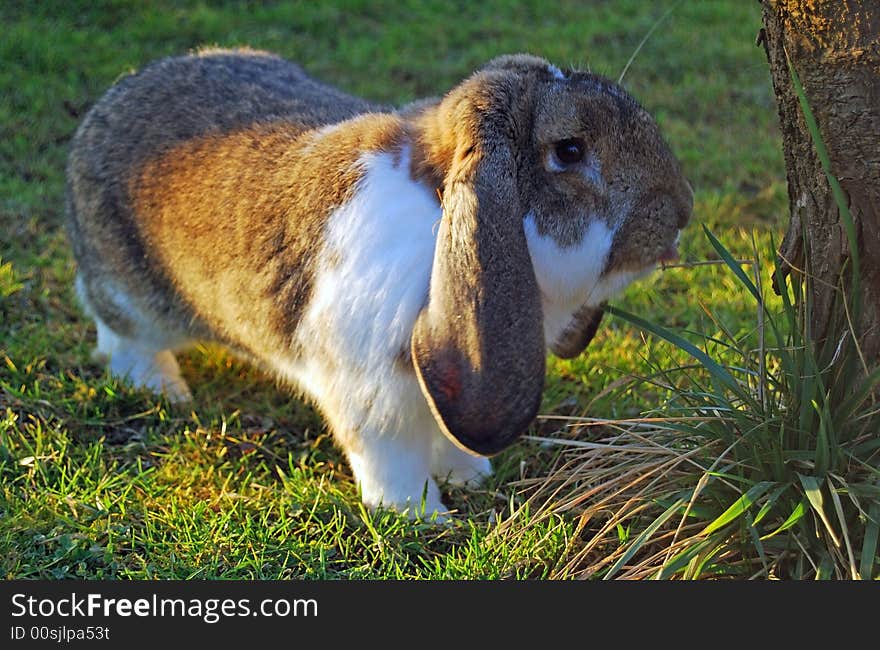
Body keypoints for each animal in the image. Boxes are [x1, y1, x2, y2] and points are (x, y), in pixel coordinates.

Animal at [63, 48, 696, 520]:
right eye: (569, 150)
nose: (682, 211)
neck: (438, 207)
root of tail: (111, 102)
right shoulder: (373, 397)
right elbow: (391, 461)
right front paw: (422, 516)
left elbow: (446, 436)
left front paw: (470, 475)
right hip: (130, 297)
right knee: (118, 336)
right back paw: (163, 387)